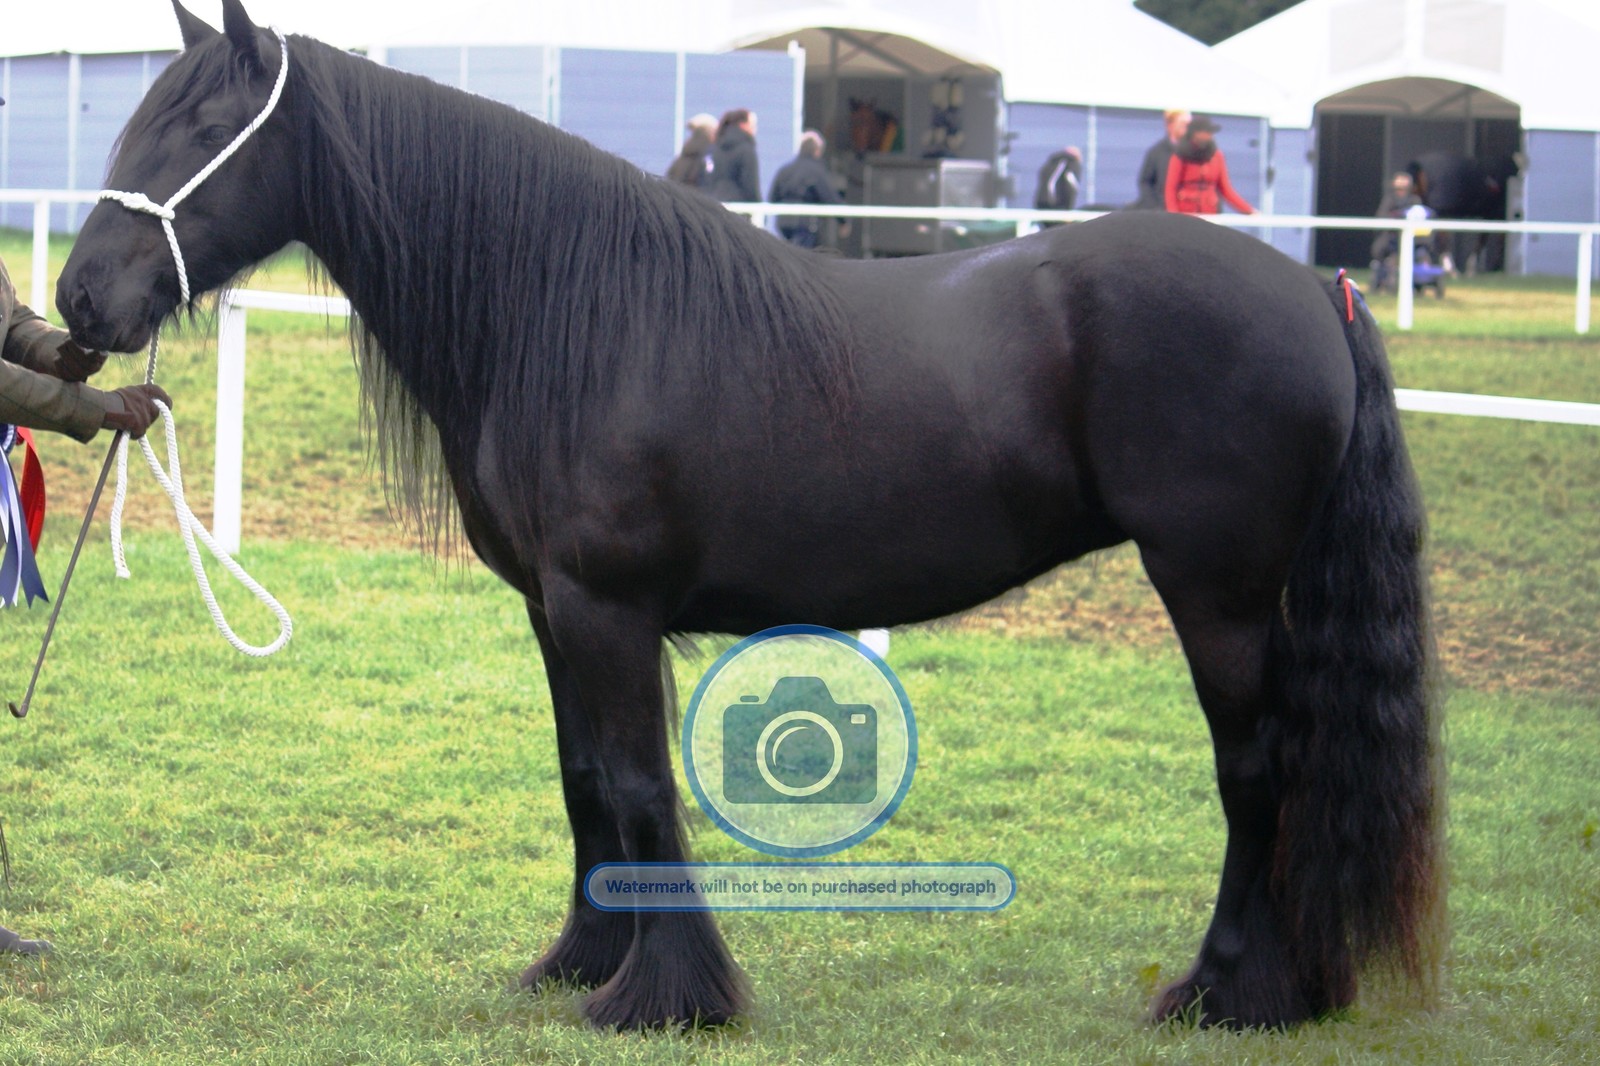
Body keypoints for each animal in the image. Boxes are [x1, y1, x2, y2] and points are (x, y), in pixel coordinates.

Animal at [58, 0, 1444, 1032]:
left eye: (202, 125)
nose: (78, 298)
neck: (571, 311)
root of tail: (1314, 289)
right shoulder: (555, 612)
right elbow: (581, 778)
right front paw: (579, 962)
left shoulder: (607, 608)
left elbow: (634, 780)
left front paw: (666, 996)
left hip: (1214, 589)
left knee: (1256, 770)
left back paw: (1226, 989)